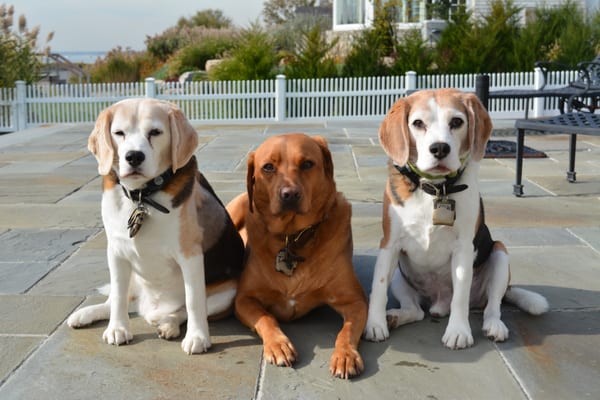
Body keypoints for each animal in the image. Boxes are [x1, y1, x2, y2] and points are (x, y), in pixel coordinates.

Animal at [67, 98, 243, 354]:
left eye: (155, 132)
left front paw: (198, 337)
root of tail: (149, 309)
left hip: (229, 292)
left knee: (182, 311)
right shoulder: (116, 252)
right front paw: (118, 328)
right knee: (116, 299)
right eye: (119, 133)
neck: (142, 196)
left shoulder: (190, 256)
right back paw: (86, 314)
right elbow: (117, 296)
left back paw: (168, 323)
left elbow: (193, 301)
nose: (134, 156)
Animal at [227, 134, 368, 378]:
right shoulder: (244, 299)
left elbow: (347, 331)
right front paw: (278, 344)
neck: (292, 237)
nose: (290, 194)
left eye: (307, 164)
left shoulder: (355, 301)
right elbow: (266, 317)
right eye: (268, 167)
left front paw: (345, 355)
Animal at [360, 89, 548, 348]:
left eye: (457, 122)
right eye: (418, 123)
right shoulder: (389, 244)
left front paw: (458, 331)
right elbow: (378, 288)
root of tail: (439, 303)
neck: (436, 189)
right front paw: (375, 325)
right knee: (416, 310)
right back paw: (395, 317)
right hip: (400, 275)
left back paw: (494, 326)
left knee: (492, 305)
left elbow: (460, 295)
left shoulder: (463, 249)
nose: (439, 148)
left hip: (500, 254)